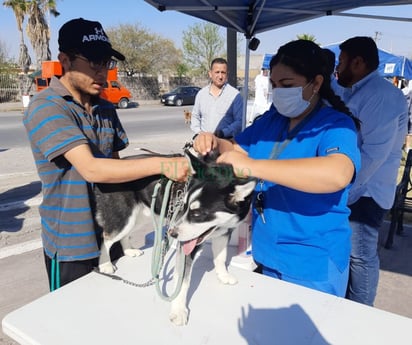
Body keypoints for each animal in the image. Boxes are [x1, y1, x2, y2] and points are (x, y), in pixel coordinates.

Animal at [92, 149, 256, 324]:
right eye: (182, 207)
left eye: (197, 214)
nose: (172, 233)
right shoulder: (186, 245)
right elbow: (182, 281)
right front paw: (178, 309)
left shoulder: (224, 232)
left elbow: (220, 257)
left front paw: (223, 275)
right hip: (124, 218)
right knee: (106, 237)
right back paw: (105, 264)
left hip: (140, 216)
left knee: (124, 234)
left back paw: (129, 250)